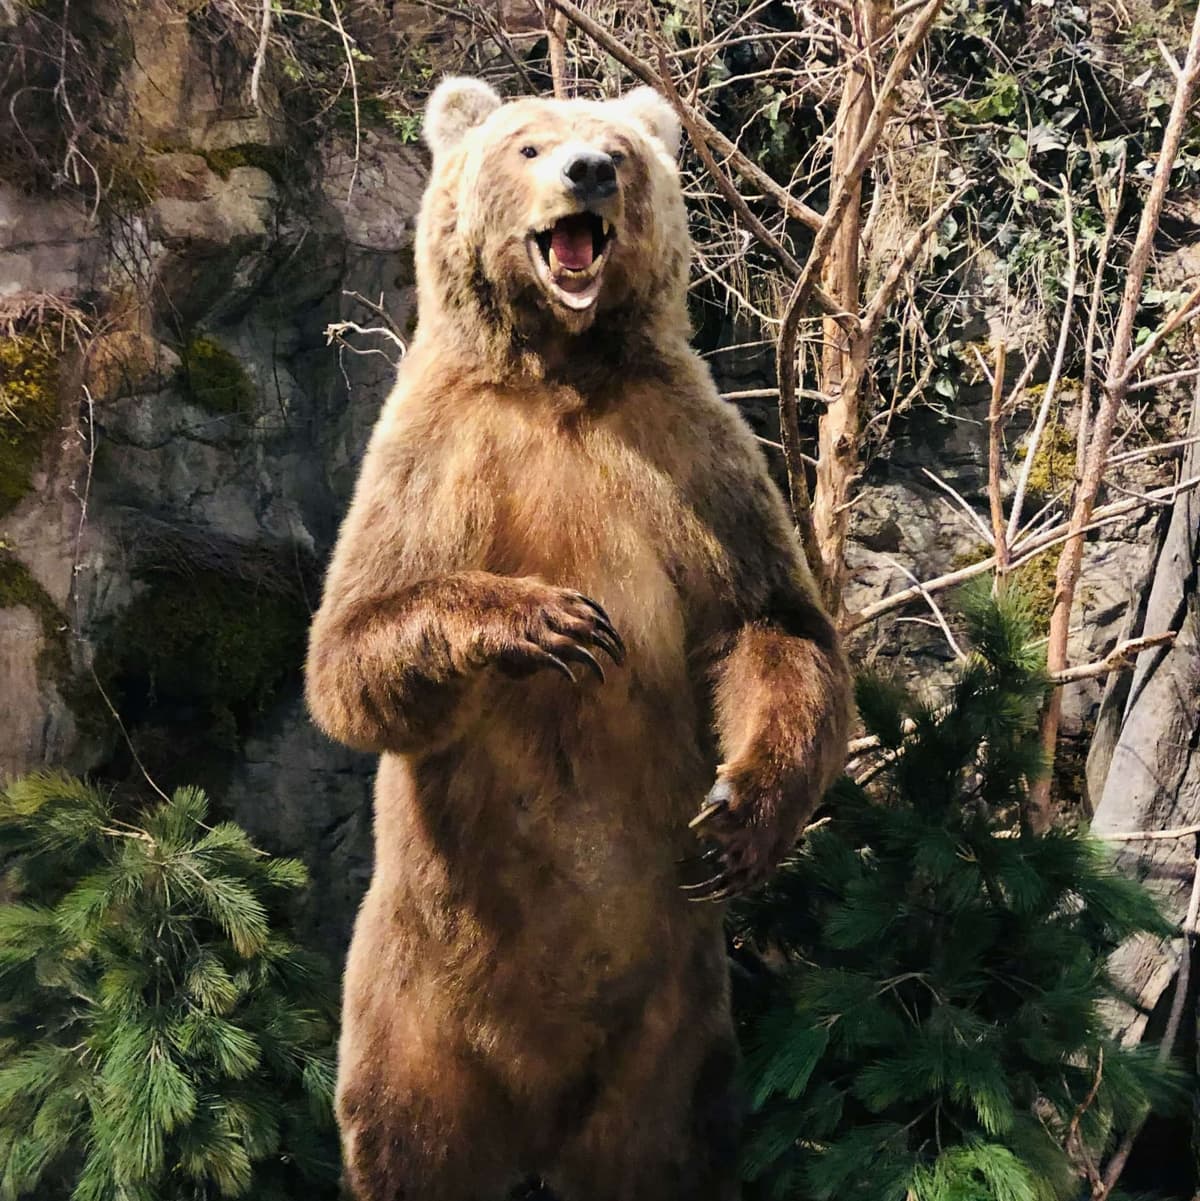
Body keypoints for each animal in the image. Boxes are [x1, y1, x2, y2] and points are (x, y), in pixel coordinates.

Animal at [305, 76, 851, 1201]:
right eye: (528, 143)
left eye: (621, 150)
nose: (588, 171)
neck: (558, 368)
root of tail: (539, 1119)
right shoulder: (433, 455)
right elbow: (351, 647)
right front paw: (550, 621)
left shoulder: (689, 449)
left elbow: (769, 623)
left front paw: (738, 817)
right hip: (410, 1008)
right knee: (406, 1139)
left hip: (673, 1028)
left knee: (670, 1145)